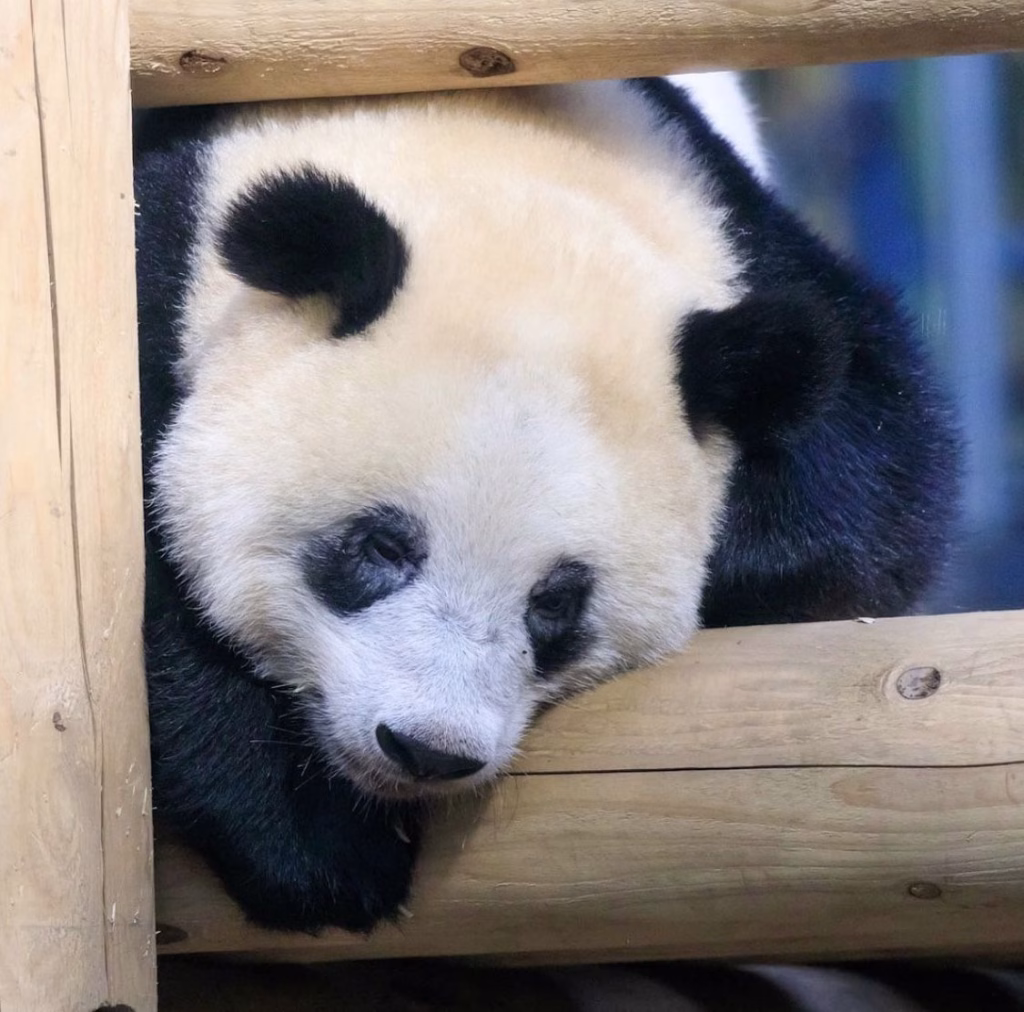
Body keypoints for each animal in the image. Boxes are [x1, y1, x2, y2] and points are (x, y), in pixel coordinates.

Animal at [134, 74, 959, 933]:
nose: (428, 749)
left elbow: (879, 478)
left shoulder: (747, 244)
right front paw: (317, 850)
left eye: (556, 602)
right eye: (382, 548)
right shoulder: (161, 270)